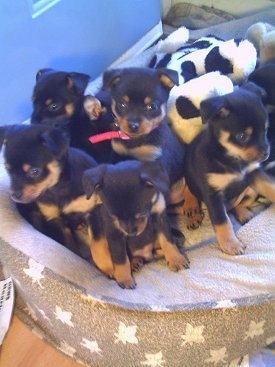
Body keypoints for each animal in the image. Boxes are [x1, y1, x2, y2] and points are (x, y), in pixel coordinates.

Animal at [0, 123, 99, 256]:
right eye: (7, 169)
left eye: (34, 172)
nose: (14, 195)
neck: (56, 189)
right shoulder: (57, 221)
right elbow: (70, 247)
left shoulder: (89, 211)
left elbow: (98, 246)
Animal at [82, 161, 190, 290]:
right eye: (114, 216)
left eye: (141, 213)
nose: (131, 233)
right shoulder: (115, 234)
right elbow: (120, 259)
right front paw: (125, 279)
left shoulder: (161, 218)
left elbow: (168, 241)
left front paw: (176, 259)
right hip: (99, 245)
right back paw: (127, 266)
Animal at [102, 67, 205, 230]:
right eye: (122, 105)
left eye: (152, 107)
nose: (133, 125)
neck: (136, 140)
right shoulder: (118, 154)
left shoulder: (156, 164)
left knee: (189, 191)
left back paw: (192, 210)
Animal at [184, 83, 275, 256]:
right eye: (242, 137)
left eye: (266, 130)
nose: (266, 153)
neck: (233, 160)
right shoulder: (213, 195)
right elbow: (222, 221)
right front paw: (231, 244)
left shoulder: (254, 173)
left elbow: (269, 186)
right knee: (187, 188)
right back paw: (192, 210)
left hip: (251, 191)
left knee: (238, 205)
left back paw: (244, 214)